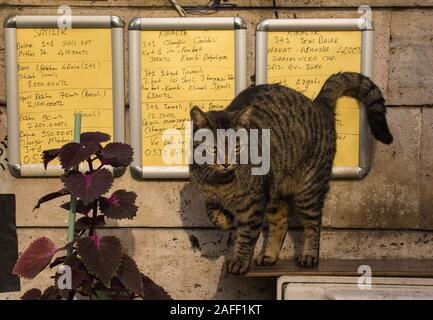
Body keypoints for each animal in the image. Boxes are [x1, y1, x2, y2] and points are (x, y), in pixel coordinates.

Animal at [189, 73, 392, 276]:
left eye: (237, 147)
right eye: (213, 149)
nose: (226, 163)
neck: (222, 182)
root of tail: (318, 104)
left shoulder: (254, 205)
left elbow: (246, 237)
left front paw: (239, 262)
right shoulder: (208, 194)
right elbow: (212, 213)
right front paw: (225, 219)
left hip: (309, 190)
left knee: (313, 224)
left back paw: (309, 255)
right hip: (276, 193)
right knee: (281, 222)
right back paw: (268, 255)